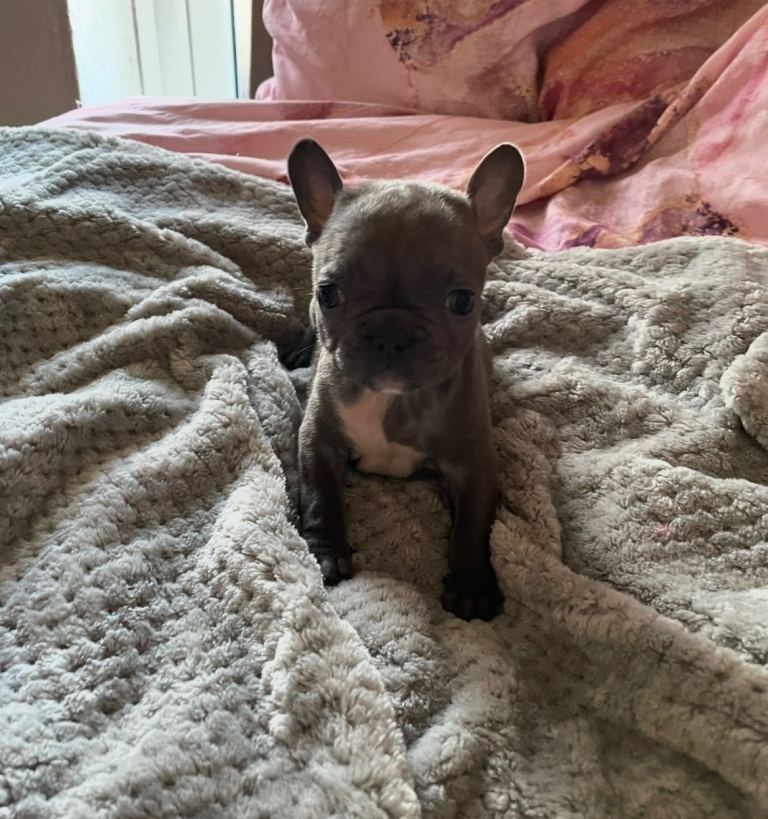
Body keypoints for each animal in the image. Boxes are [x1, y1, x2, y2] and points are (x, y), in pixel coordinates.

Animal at [285, 138, 524, 621]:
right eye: (329, 294)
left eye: (463, 302)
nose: (390, 333)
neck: (393, 401)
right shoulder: (317, 441)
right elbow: (320, 497)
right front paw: (325, 554)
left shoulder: (474, 464)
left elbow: (473, 526)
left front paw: (472, 585)